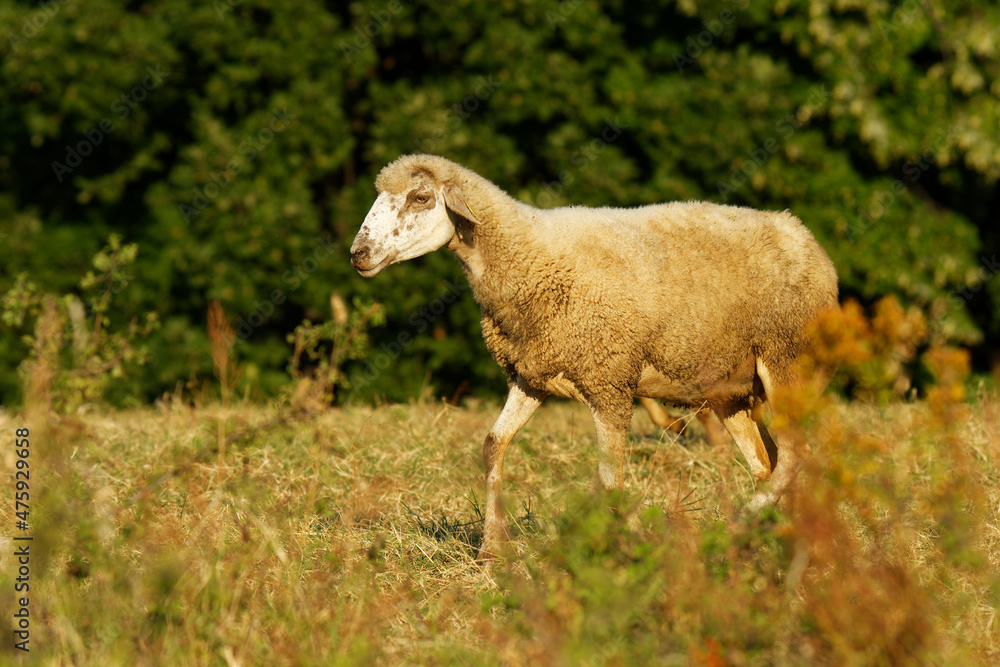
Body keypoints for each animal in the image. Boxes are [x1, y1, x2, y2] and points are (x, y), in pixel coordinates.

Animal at [350, 154, 839, 561]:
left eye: (420, 197)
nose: (358, 254)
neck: (526, 255)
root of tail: (807, 240)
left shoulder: (609, 380)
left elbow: (610, 478)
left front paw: (615, 551)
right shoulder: (530, 376)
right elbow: (494, 445)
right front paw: (491, 548)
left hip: (787, 356)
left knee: (796, 453)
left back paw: (749, 520)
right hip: (732, 391)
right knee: (768, 462)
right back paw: (773, 538)